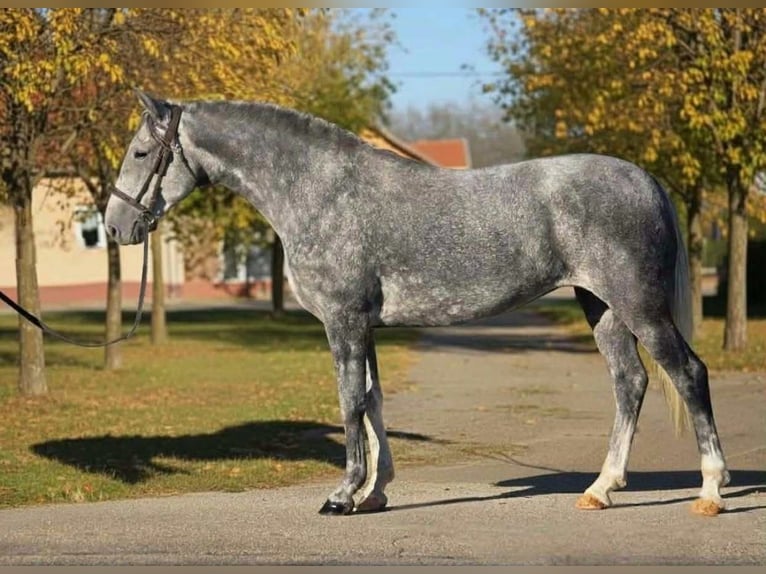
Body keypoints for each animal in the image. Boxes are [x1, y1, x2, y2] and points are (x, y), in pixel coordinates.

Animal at [105, 89, 729, 517]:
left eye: (141, 151)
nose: (114, 227)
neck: (320, 191)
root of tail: (644, 178)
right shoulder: (366, 326)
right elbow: (374, 402)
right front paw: (374, 493)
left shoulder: (343, 322)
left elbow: (349, 402)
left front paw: (342, 495)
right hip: (601, 307)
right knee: (631, 382)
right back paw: (601, 489)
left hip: (639, 306)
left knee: (688, 373)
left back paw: (710, 490)